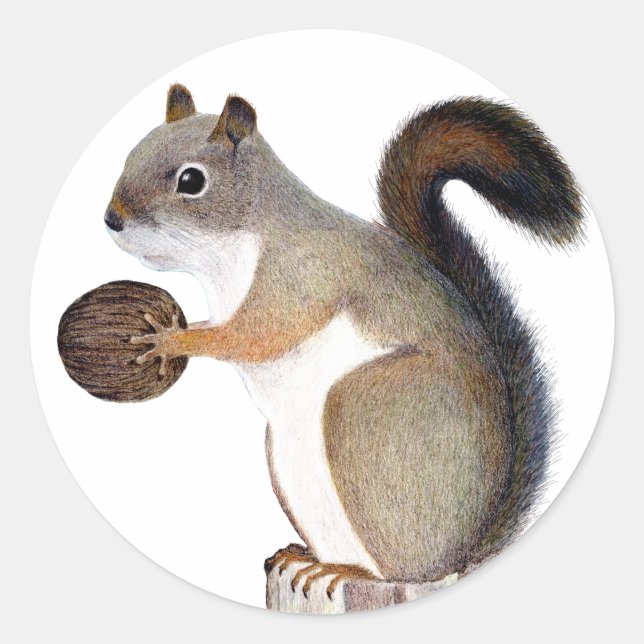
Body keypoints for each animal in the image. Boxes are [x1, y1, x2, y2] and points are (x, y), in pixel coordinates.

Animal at [104, 84, 584, 597]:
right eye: (132, 152)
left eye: (191, 180)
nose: (112, 218)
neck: (237, 242)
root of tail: (466, 553)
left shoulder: (300, 275)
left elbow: (255, 335)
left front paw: (171, 341)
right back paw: (308, 559)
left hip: (366, 412)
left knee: (404, 568)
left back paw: (351, 572)